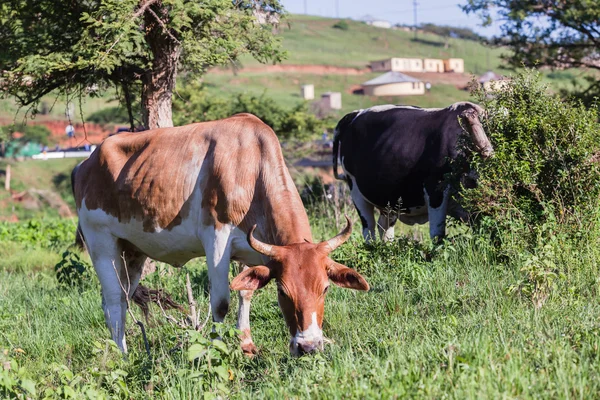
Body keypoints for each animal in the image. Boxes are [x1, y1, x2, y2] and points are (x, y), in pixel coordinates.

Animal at [72, 113, 368, 356]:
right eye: (282, 291)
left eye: (325, 288)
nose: (308, 346)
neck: (251, 167)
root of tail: (86, 163)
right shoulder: (216, 239)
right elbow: (221, 302)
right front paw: (216, 348)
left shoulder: (252, 250)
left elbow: (245, 292)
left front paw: (246, 344)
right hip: (102, 244)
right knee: (113, 304)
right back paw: (122, 358)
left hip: (132, 252)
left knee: (121, 299)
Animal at [332, 101, 492, 242]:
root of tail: (355, 114)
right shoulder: (435, 189)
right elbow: (437, 235)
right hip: (355, 190)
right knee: (368, 229)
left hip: (388, 199)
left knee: (384, 228)